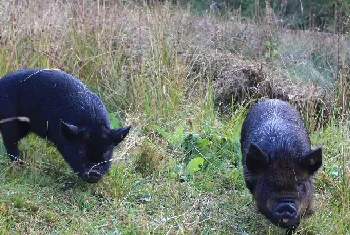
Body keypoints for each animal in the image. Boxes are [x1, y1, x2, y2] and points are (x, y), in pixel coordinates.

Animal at [0, 68, 131, 182]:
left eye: (106, 151)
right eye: (81, 149)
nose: (94, 172)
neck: (92, 120)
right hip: (9, 120)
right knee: (10, 143)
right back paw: (20, 166)